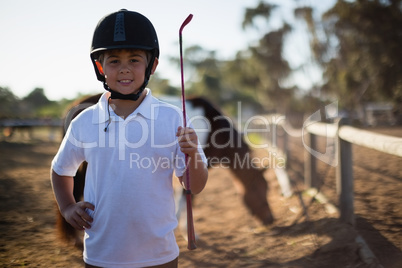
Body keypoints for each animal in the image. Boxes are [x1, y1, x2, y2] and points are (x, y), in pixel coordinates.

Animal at [55, 93, 274, 246]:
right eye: (259, 189)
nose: (270, 220)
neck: (214, 128)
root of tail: (72, 107)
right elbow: (187, 198)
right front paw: (185, 234)